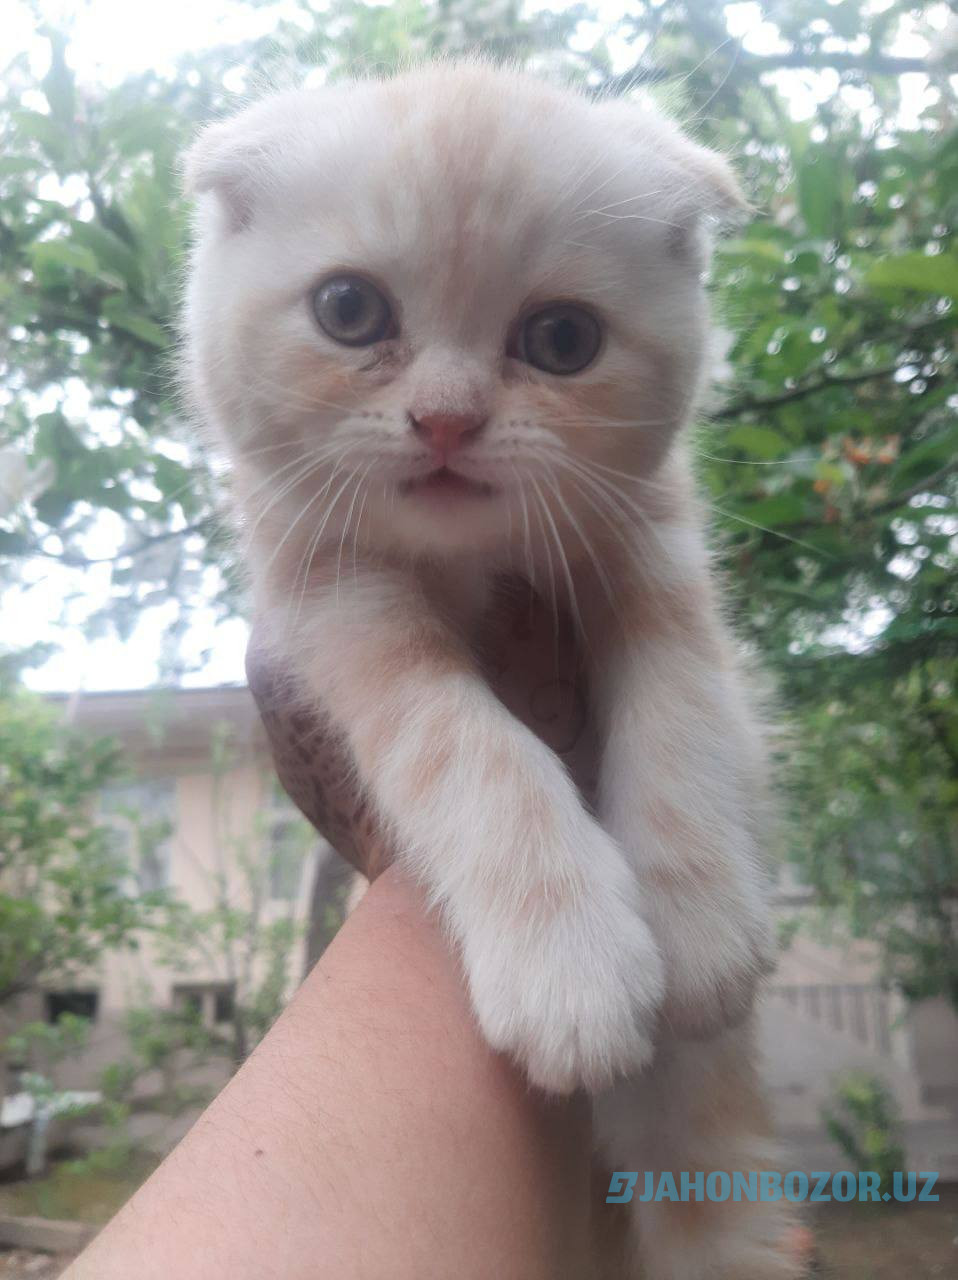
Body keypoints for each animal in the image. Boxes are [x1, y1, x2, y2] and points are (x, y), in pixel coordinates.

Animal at [183, 62, 799, 1280]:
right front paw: (568, 962)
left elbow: (684, 696)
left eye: (561, 337)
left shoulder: (654, 540)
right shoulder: (331, 593)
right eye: (348, 311)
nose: (446, 421)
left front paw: (697, 913)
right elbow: (464, 742)